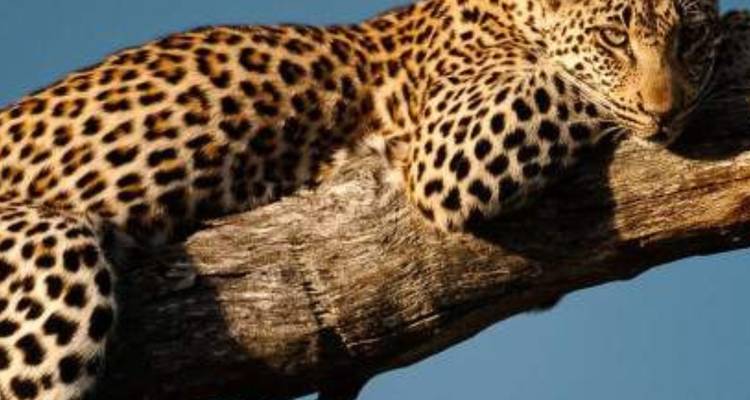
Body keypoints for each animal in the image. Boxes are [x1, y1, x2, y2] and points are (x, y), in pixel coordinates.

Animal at [0, 0, 729, 398]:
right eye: (614, 38)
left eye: (687, 37)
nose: (666, 112)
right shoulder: (451, 142)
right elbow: (566, 83)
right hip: (47, 253)